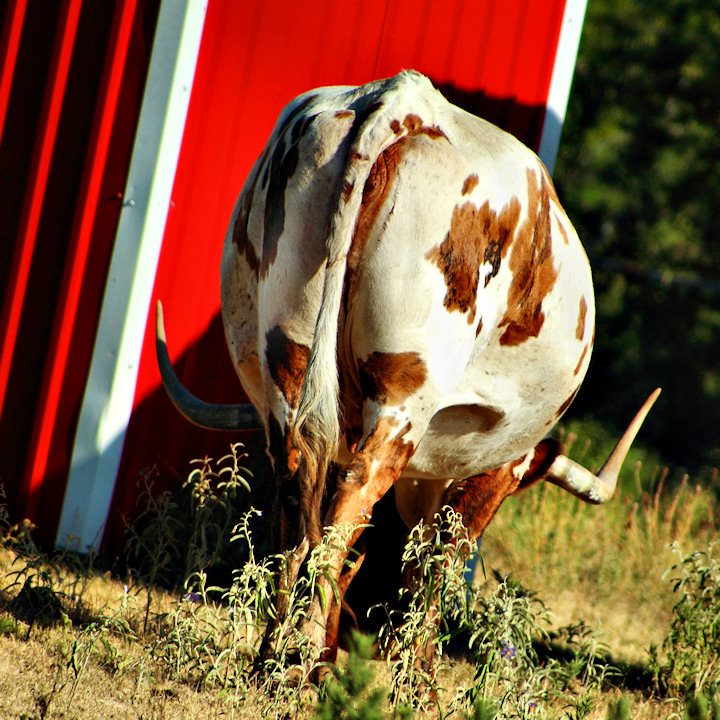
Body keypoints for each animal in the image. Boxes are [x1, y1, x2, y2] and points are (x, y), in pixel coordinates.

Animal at [156, 71, 660, 664]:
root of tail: (402, 101)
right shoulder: (495, 467)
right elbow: (441, 553)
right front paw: (415, 667)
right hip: (407, 388)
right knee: (357, 488)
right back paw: (304, 653)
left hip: (287, 354)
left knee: (298, 479)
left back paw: (274, 651)